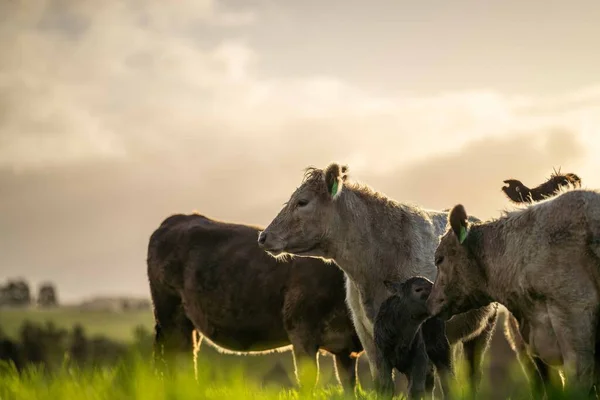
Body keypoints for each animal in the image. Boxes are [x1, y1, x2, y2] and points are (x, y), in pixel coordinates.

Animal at [148, 212, 364, 390]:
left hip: (187, 324)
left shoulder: (345, 348)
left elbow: (350, 386)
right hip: (170, 317)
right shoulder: (302, 332)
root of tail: (177, 218)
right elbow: (309, 382)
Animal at [258, 163, 510, 396]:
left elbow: (418, 385)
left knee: (470, 375)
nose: (263, 236)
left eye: (302, 202)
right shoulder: (368, 336)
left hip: (482, 329)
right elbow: (384, 385)